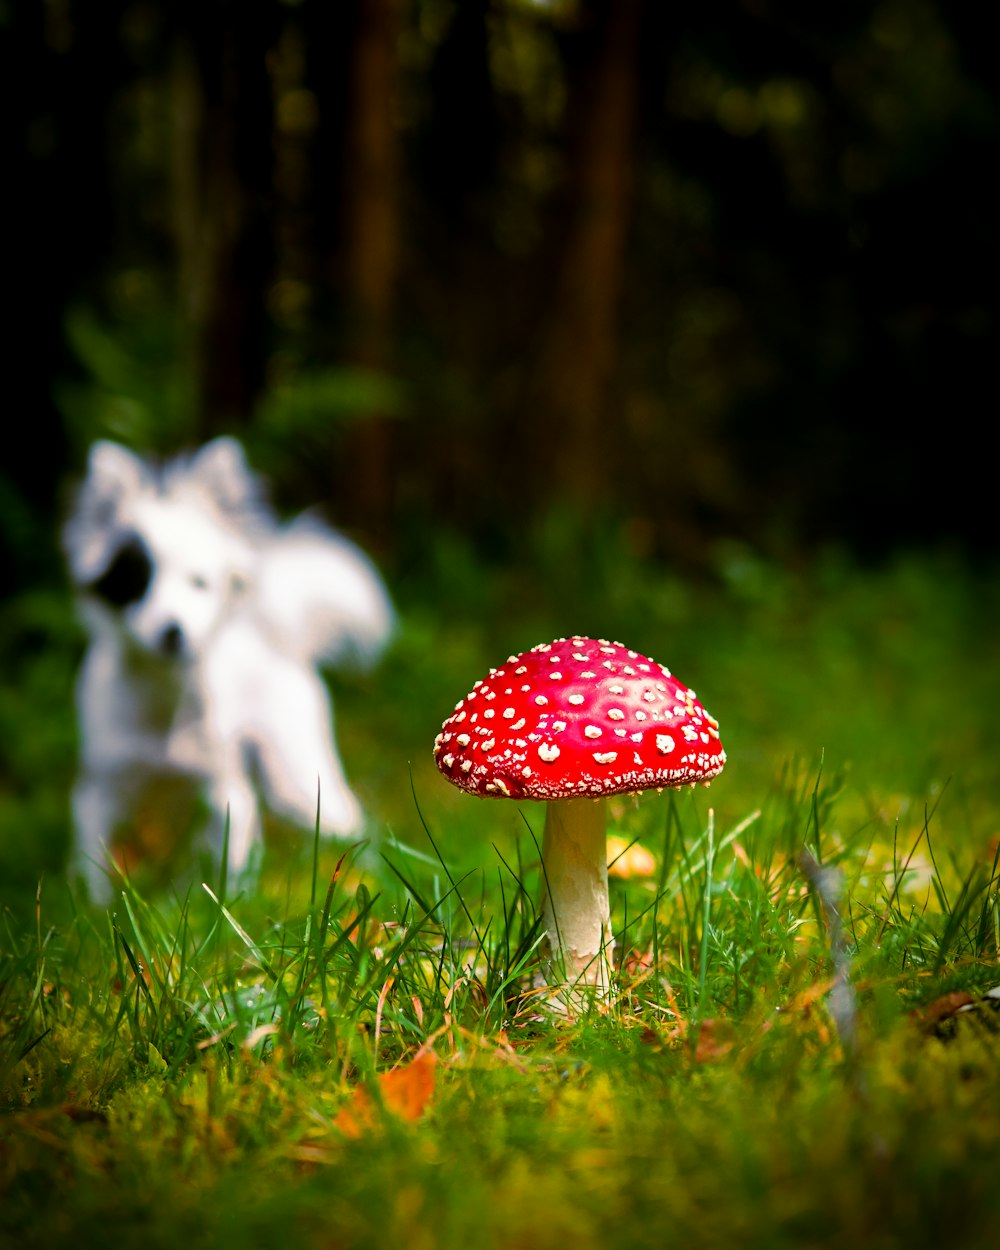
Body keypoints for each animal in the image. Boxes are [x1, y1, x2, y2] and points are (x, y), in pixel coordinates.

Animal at [62, 437, 395, 900]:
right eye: (137, 582)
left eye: (199, 583)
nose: (173, 631)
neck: (163, 705)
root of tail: (273, 633)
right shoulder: (100, 785)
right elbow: (93, 856)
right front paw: (97, 905)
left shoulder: (225, 787)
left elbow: (233, 853)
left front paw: (229, 902)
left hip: (298, 773)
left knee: (341, 818)